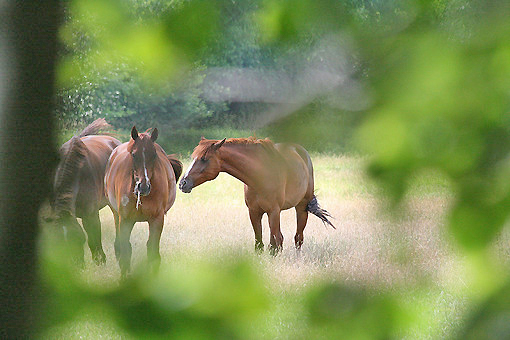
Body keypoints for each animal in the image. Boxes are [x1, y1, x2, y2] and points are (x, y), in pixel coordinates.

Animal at [104, 126, 182, 274]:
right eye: (134, 155)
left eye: (154, 155)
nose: (144, 186)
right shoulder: (125, 220)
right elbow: (126, 251)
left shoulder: (157, 219)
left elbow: (153, 252)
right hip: (116, 214)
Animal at [179, 137, 334, 254]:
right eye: (193, 157)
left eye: (204, 158)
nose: (182, 183)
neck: (259, 175)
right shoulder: (254, 212)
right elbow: (259, 243)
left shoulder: (273, 211)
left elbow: (274, 243)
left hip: (301, 208)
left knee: (298, 238)